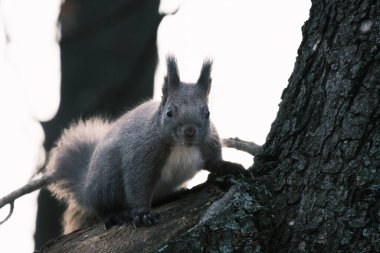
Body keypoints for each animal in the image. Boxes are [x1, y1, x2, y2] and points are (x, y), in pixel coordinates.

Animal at [0, 56, 252, 234]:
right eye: (170, 112)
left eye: (207, 113)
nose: (190, 132)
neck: (182, 146)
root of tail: (87, 186)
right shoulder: (141, 154)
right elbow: (137, 182)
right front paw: (142, 214)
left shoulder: (208, 144)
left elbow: (214, 162)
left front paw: (231, 167)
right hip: (108, 178)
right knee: (100, 206)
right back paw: (113, 215)